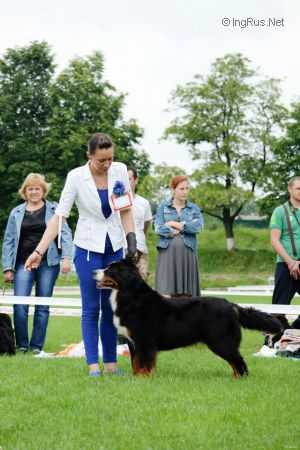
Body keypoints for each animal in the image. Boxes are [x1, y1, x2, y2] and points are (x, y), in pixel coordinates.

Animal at [95, 258, 282, 378]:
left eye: (110, 270)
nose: (93, 271)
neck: (131, 295)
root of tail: (231, 305)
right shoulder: (132, 341)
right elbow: (135, 363)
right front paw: (136, 379)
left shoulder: (144, 341)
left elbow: (143, 363)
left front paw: (143, 379)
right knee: (236, 363)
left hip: (221, 341)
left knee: (238, 362)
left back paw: (239, 379)